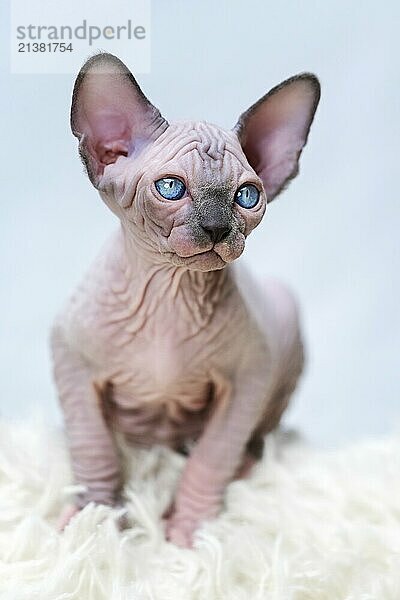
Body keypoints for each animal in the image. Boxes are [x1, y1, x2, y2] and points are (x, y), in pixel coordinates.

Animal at [51, 52, 320, 548]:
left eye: (247, 196)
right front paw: (94, 522)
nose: (217, 228)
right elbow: (93, 451)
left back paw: (247, 468)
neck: (169, 293)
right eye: (171, 188)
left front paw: (191, 533)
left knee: (256, 439)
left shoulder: (249, 379)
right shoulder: (70, 359)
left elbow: (210, 460)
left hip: (286, 322)